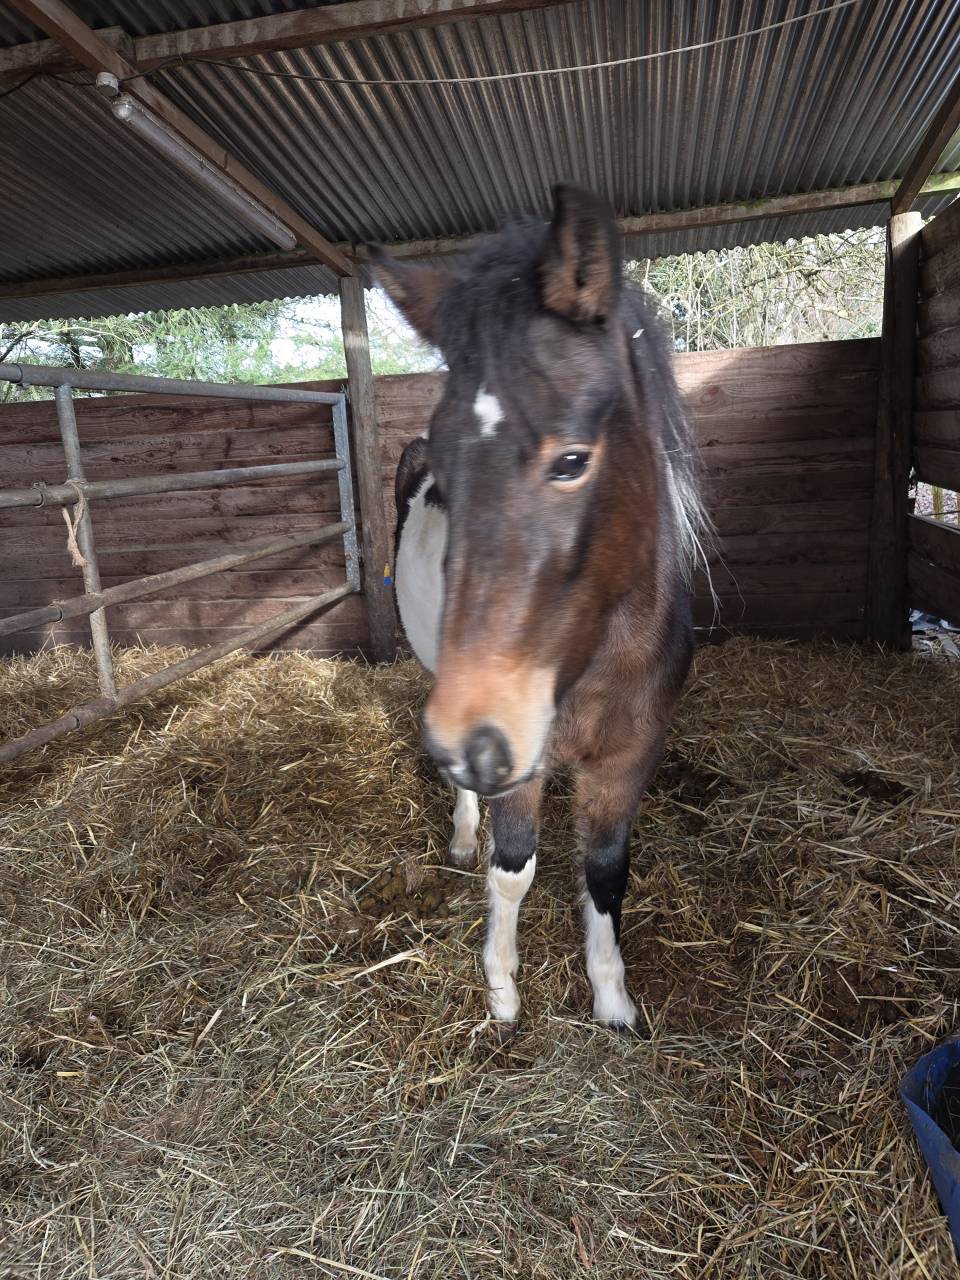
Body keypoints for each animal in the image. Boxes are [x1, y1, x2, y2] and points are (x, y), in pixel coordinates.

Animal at [371, 185, 709, 1028]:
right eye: (448, 467)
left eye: (571, 460)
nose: (472, 738)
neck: (597, 656)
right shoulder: (515, 756)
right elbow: (514, 867)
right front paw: (502, 988)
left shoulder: (631, 756)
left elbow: (607, 870)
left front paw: (613, 999)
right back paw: (463, 834)